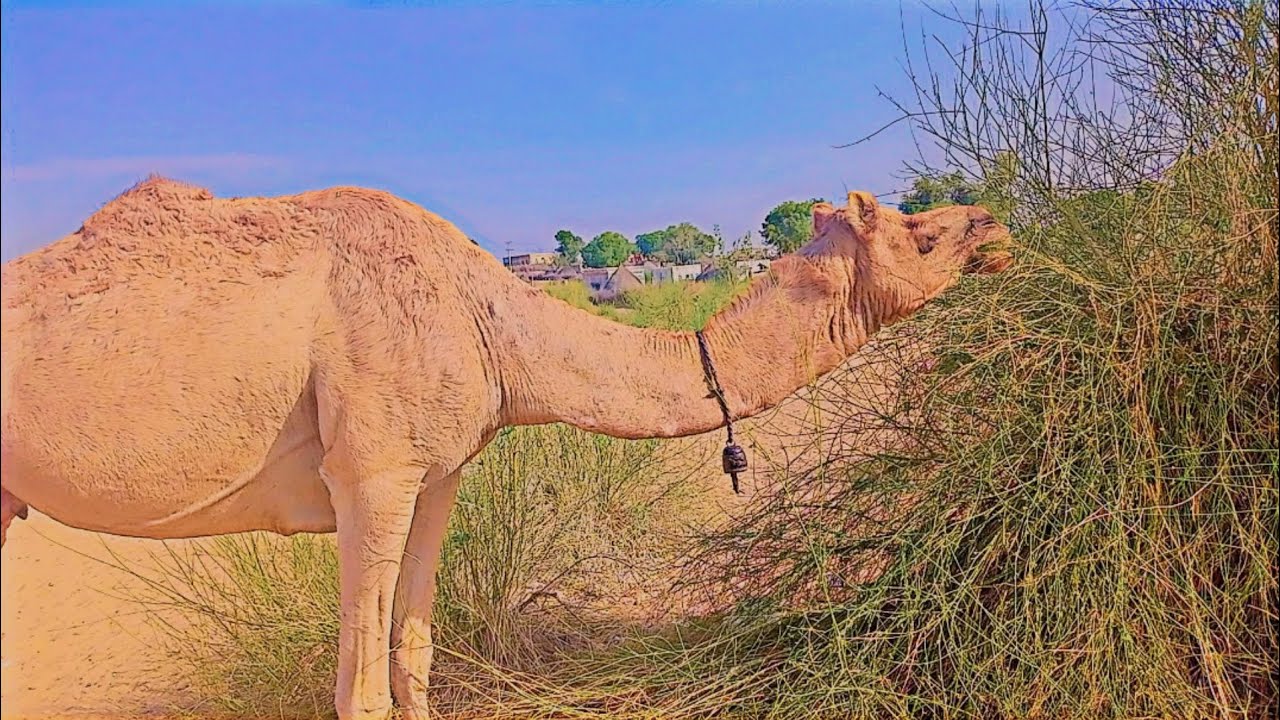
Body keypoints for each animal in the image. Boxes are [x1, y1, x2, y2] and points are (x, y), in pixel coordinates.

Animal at [0, 177, 1011, 719]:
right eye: (920, 230)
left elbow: (411, 650)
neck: (489, 315)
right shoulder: (371, 472)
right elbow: (358, 688)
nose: (996, 226)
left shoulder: (437, 470)